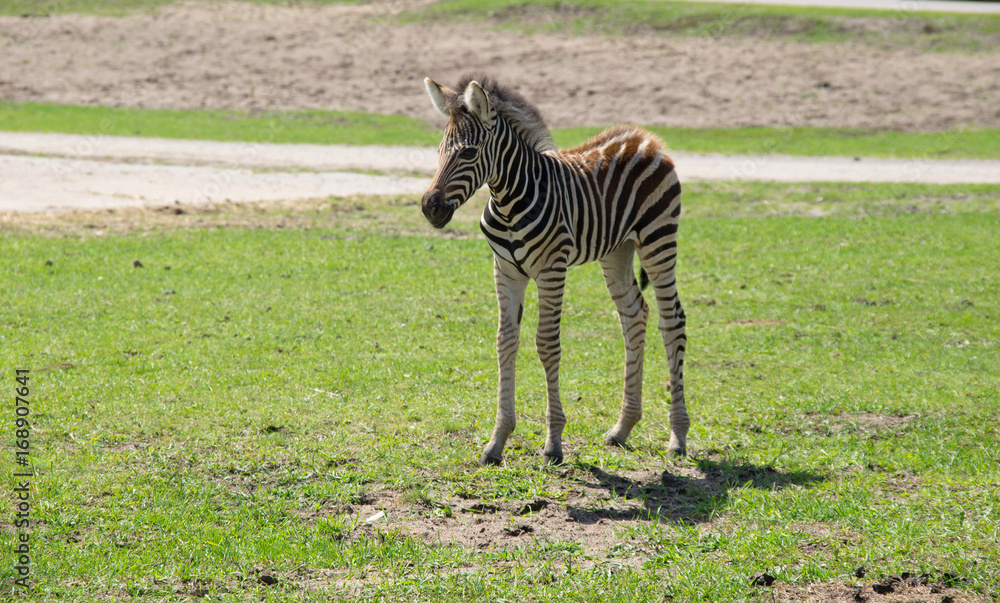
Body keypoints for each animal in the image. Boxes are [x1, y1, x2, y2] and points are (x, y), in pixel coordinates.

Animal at [421, 75, 687, 466]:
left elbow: (546, 344)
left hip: (658, 239)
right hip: (617, 251)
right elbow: (505, 342)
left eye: (468, 153)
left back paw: (678, 436)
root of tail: (645, 138)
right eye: (440, 150)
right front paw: (497, 441)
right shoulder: (505, 271)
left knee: (672, 322)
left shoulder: (551, 269)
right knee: (634, 316)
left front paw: (553, 443)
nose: (430, 207)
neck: (509, 201)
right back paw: (622, 428)